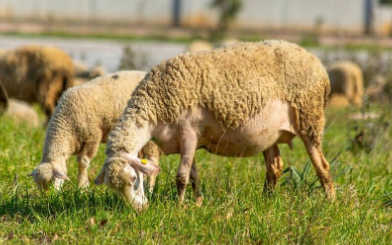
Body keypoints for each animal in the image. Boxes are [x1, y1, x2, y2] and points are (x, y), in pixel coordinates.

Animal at [28, 70, 161, 191]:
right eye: (39, 187)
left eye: (52, 181)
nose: (48, 198)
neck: (66, 126)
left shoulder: (92, 137)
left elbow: (83, 163)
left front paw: (82, 187)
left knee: (153, 160)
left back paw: (150, 189)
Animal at [95, 39, 334, 211]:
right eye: (113, 189)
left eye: (134, 178)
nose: (140, 210)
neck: (155, 105)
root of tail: (318, 64)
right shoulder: (186, 140)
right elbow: (193, 176)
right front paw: (198, 203)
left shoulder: (189, 133)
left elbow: (181, 177)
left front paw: (179, 208)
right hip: (271, 133)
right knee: (275, 167)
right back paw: (267, 201)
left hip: (309, 118)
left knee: (322, 166)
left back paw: (330, 201)